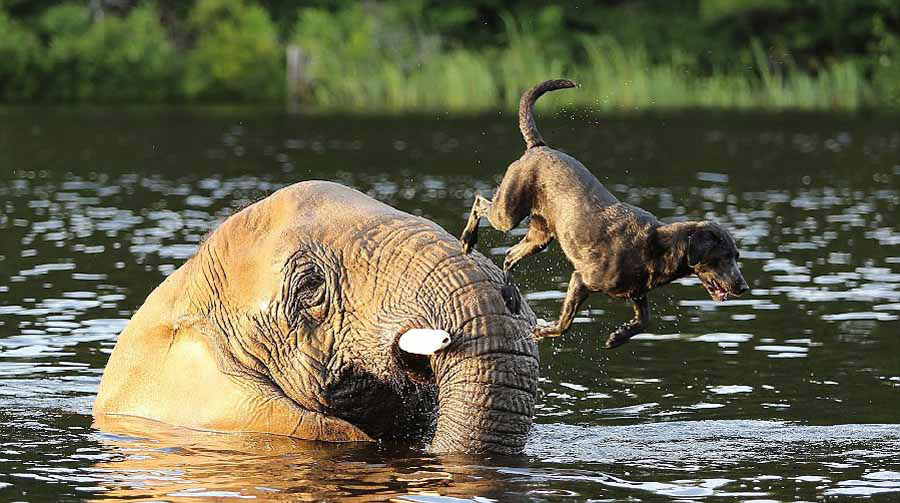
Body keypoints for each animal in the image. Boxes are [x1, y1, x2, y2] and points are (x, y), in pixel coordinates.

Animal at [460, 79, 748, 350]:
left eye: (736, 256)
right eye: (722, 257)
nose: (744, 287)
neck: (656, 247)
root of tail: (537, 147)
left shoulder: (637, 293)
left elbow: (645, 320)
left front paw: (618, 337)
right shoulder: (581, 279)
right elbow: (565, 323)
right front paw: (543, 331)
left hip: (540, 236)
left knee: (509, 255)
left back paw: (509, 294)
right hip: (509, 212)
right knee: (479, 202)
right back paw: (467, 240)